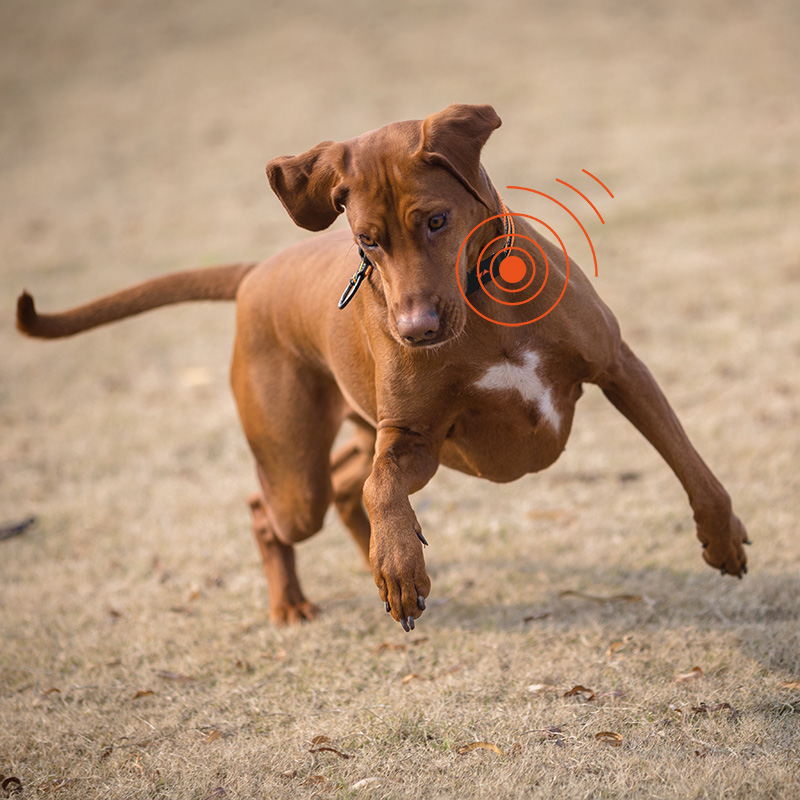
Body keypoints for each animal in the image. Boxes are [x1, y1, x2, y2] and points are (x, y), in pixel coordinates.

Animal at [17, 103, 752, 632]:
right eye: (367, 240)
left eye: (437, 220)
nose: (415, 330)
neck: (483, 306)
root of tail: (257, 273)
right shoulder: (414, 438)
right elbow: (381, 489)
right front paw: (399, 565)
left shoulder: (620, 369)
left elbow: (693, 466)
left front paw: (722, 540)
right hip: (297, 474)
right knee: (275, 506)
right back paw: (295, 602)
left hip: (349, 436)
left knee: (344, 485)